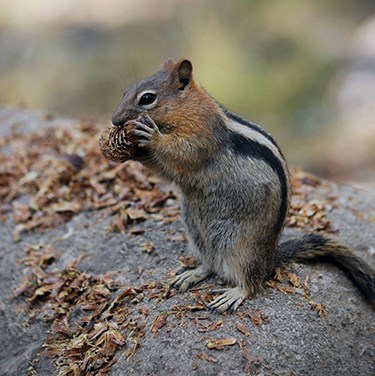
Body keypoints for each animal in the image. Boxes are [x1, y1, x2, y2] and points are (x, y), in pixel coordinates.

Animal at [110, 57, 374, 312]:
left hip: (242, 247)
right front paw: (133, 150)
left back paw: (233, 294)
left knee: (252, 282)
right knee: (211, 265)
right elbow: (165, 170)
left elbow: (182, 153)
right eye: (125, 92)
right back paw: (191, 274)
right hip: (197, 235)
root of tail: (270, 258)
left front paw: (152, 137)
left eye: (147, 98)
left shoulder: (203, 137)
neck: (190, 109)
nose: (114, 120)